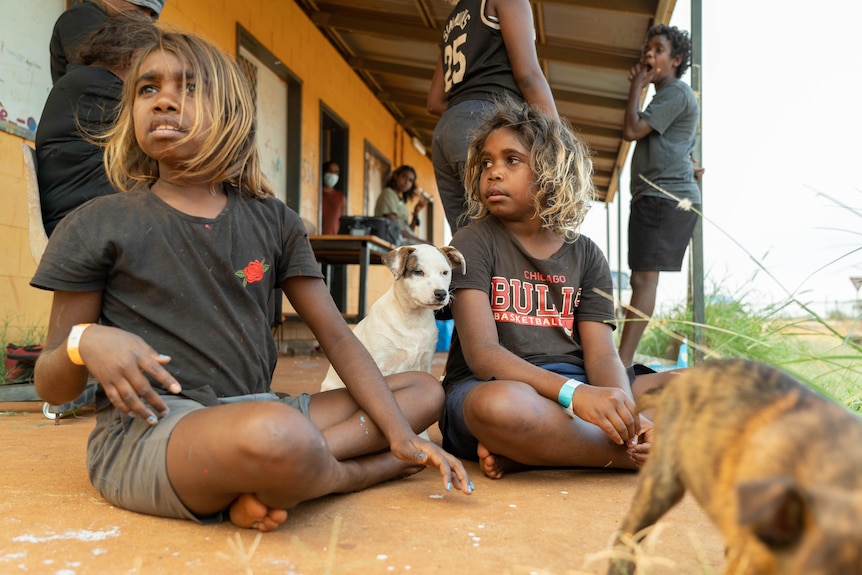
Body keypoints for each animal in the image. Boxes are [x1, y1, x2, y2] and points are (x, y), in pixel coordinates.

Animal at [320, 245, 466, 394]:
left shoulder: (425, 363)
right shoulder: (380, 365)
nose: (441, 294)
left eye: (445, 272)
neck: (413, 318)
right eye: (418, 272)